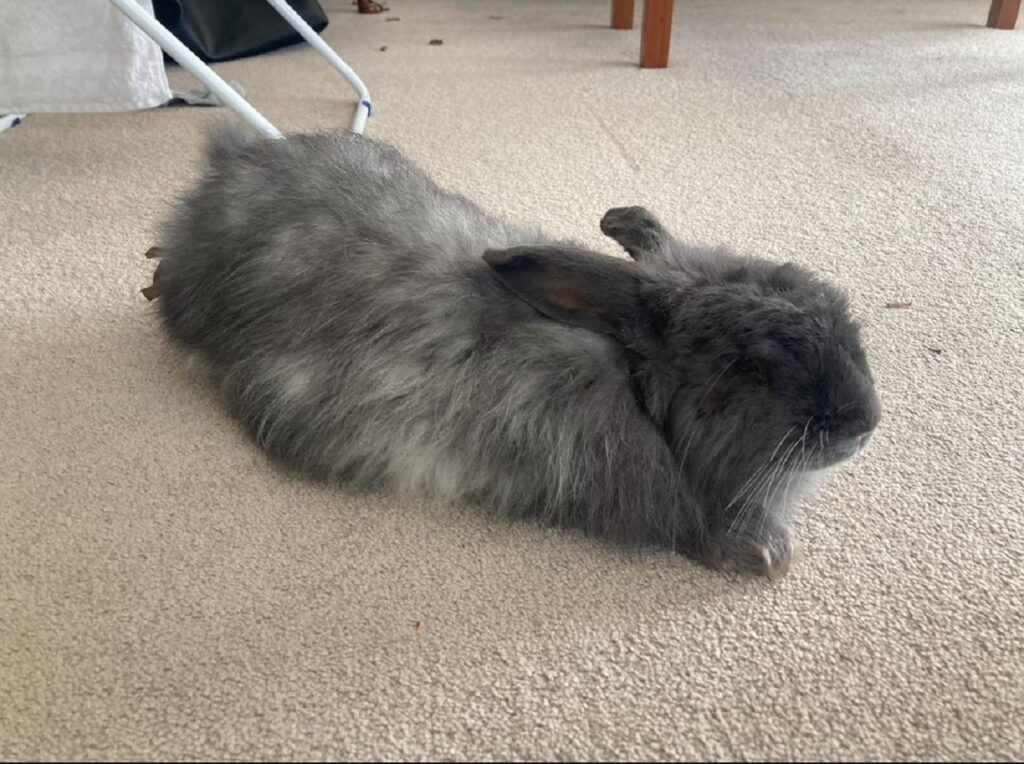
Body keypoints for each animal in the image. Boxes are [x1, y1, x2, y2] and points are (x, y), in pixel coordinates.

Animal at [149, 128, 881, 577]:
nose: (864, 423)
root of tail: (223, 174)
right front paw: (764, 554)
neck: (630, 384)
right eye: (751, 365)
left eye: (836, 310)